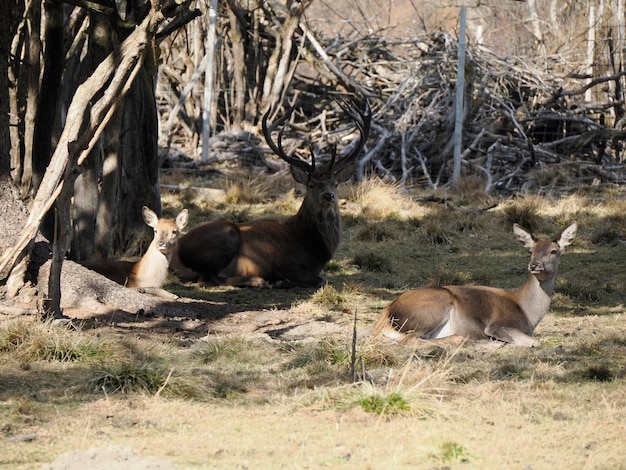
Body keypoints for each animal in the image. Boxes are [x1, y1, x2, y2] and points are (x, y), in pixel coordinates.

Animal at [168, 98, 368, 288]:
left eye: (335, 184)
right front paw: (281, 281)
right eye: (311, 185)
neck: (312, 248)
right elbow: (320, 280)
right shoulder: (286, 264)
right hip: (227, 237)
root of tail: (175, 256)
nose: (328, 196)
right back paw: (259, 281)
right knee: (207, 278)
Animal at [368, 222, 576, 346]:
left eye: (554, 251)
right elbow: (536, 341)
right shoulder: (497, 324)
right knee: (410, 340)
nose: (534, 265)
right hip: (432, 308)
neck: (527, 313)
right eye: (530, 251)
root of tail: (385, 315)